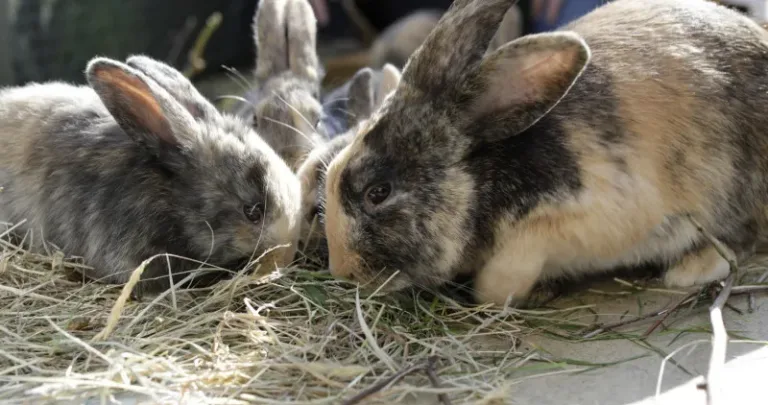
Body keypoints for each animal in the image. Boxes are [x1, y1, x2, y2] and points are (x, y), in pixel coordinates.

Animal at [320, 0, 768, 306]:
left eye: (378, 192)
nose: (342, 271)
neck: (482, 179)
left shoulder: (579, 219)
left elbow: (498, 282)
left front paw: (515, 293)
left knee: (742, 238)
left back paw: (688, 271)